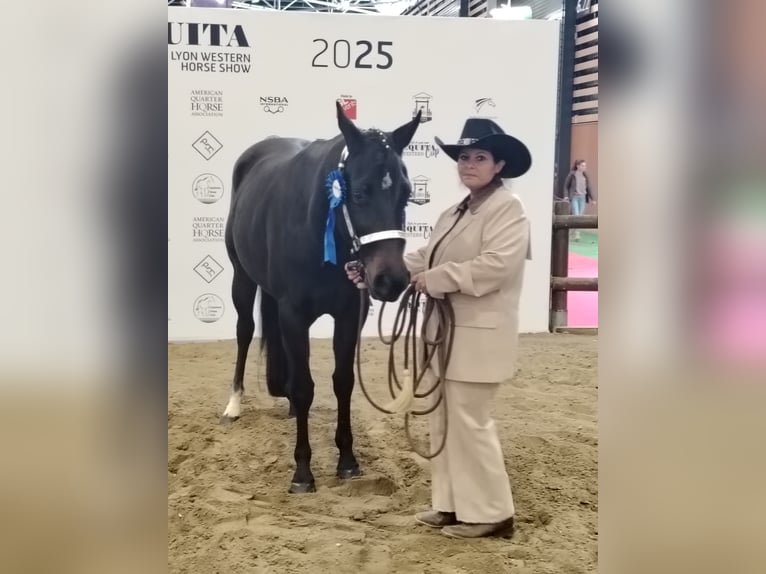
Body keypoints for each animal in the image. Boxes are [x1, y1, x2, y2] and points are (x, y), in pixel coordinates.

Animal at [221, 101, 422, 493]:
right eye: (359, 193)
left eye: (406, 193)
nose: (391, 280)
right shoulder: (294, 315)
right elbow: (303, 386)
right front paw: (302, 472)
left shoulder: (348, 314)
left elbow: (342, 382)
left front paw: (347, 460)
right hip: (242, 279)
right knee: (244, 331)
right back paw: (234, 404)